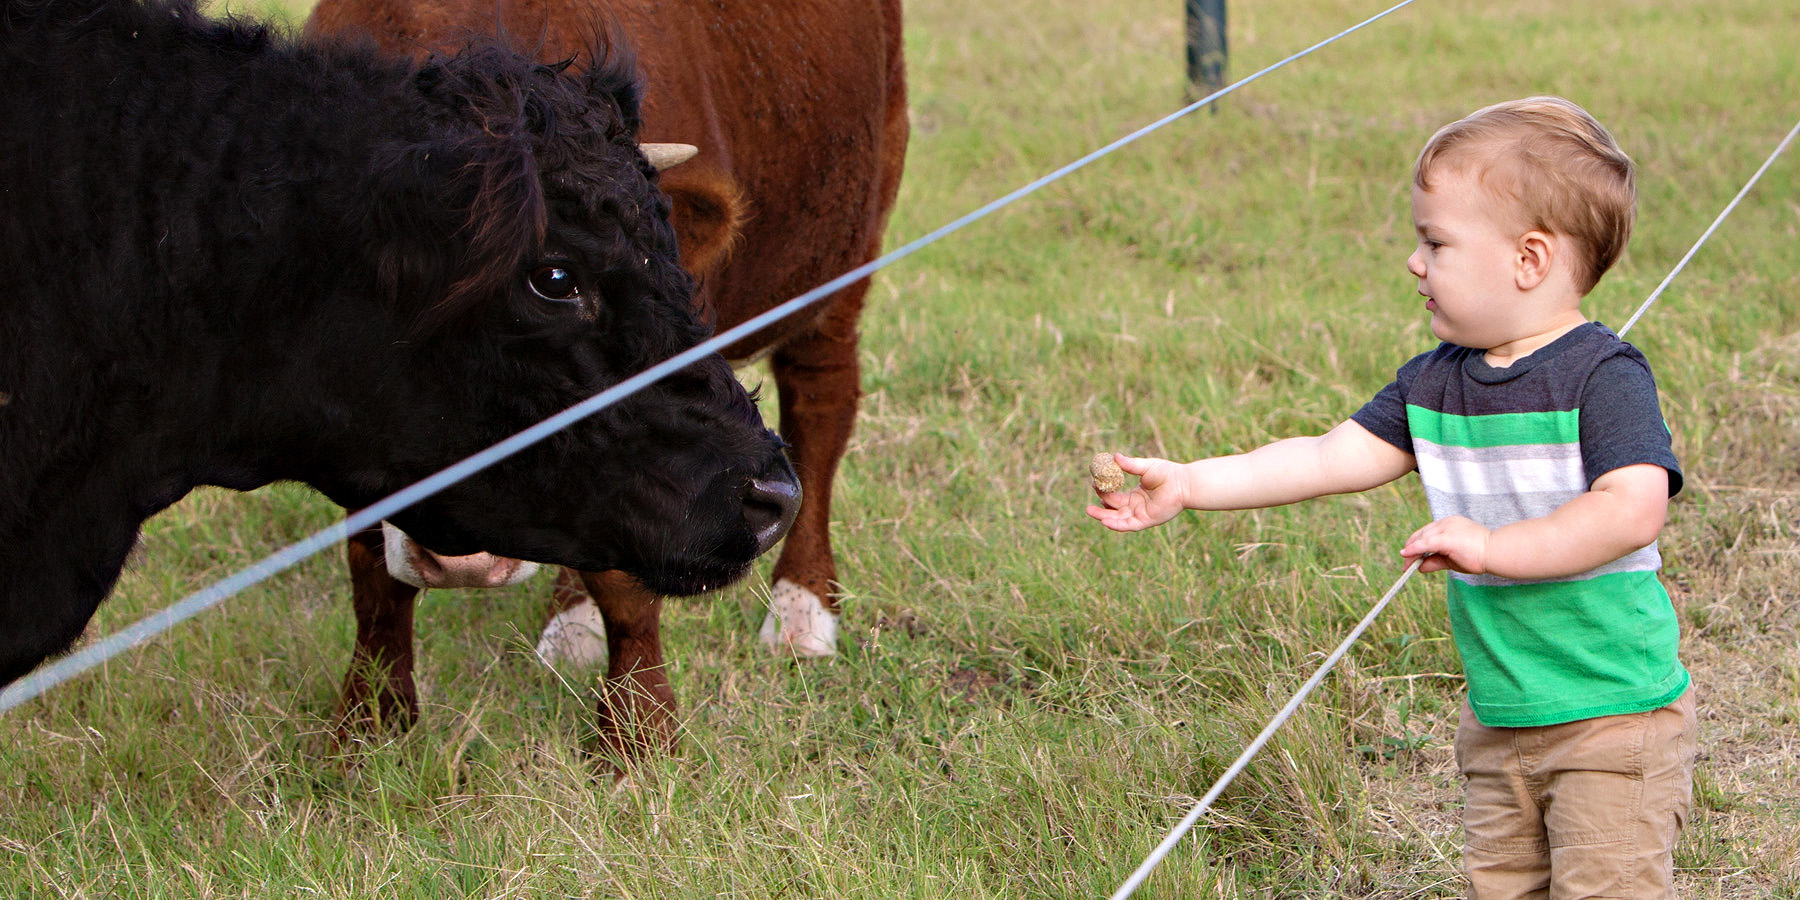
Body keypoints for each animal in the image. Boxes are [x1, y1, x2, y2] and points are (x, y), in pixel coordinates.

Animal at [304, 0, 914, 759]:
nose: (460, 550)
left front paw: (637, 736)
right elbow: (370, 568)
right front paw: (368, 725)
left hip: (845, 251)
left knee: (822, 404)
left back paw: (802, 613)